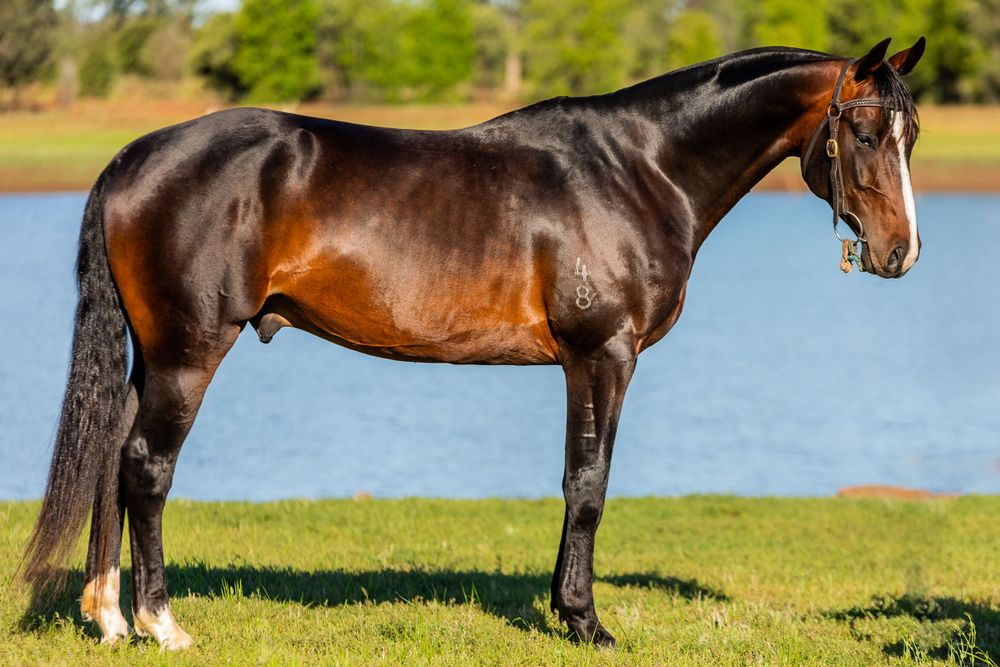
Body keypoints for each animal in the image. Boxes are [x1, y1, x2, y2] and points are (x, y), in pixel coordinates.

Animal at [21, 37, 925, 649]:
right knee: (147, 467)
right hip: (189, 350)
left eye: (910, 136)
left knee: (111, 455)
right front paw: (584, 620)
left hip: (153, 353)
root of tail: (133, 157)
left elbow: (577, 482)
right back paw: (161, 623)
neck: (640, 168)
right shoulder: (603, 354)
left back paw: (107, 615)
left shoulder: (588, 360)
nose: (901, 253)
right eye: (865, 134)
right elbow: (588, 483)